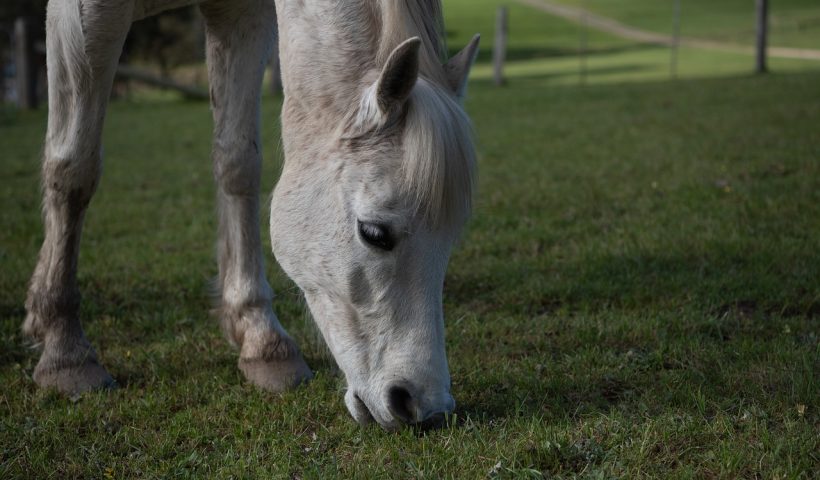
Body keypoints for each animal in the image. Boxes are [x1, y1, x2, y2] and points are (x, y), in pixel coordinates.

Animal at [27, 0, 480, 432]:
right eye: (374, 233)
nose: (425, 407)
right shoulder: (85, 14)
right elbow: (74, 168)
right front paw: (65, 351)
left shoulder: (240, 14)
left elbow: (238, 162)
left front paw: (261, 338)